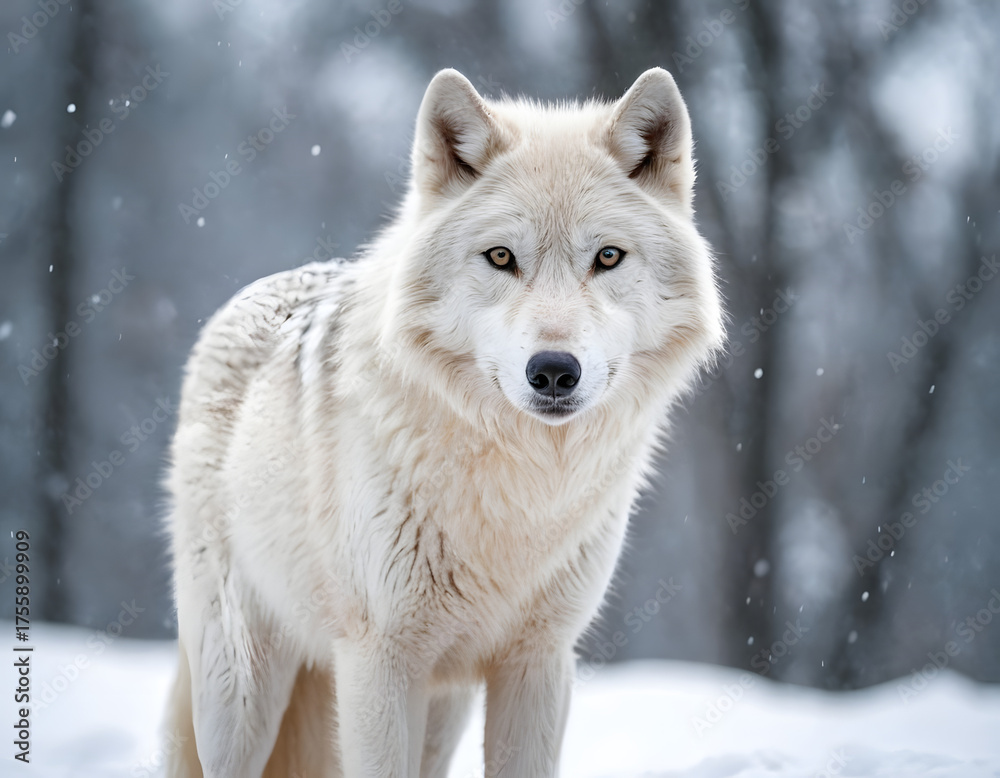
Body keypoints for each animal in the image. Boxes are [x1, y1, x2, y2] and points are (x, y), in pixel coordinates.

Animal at [163, 67, 724, 777]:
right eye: (502, 257)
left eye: (608, 257)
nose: (553, 371)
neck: (522, 489)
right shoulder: (378, 662)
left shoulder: (539, 663)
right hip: (241, 690)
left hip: (440, 704)